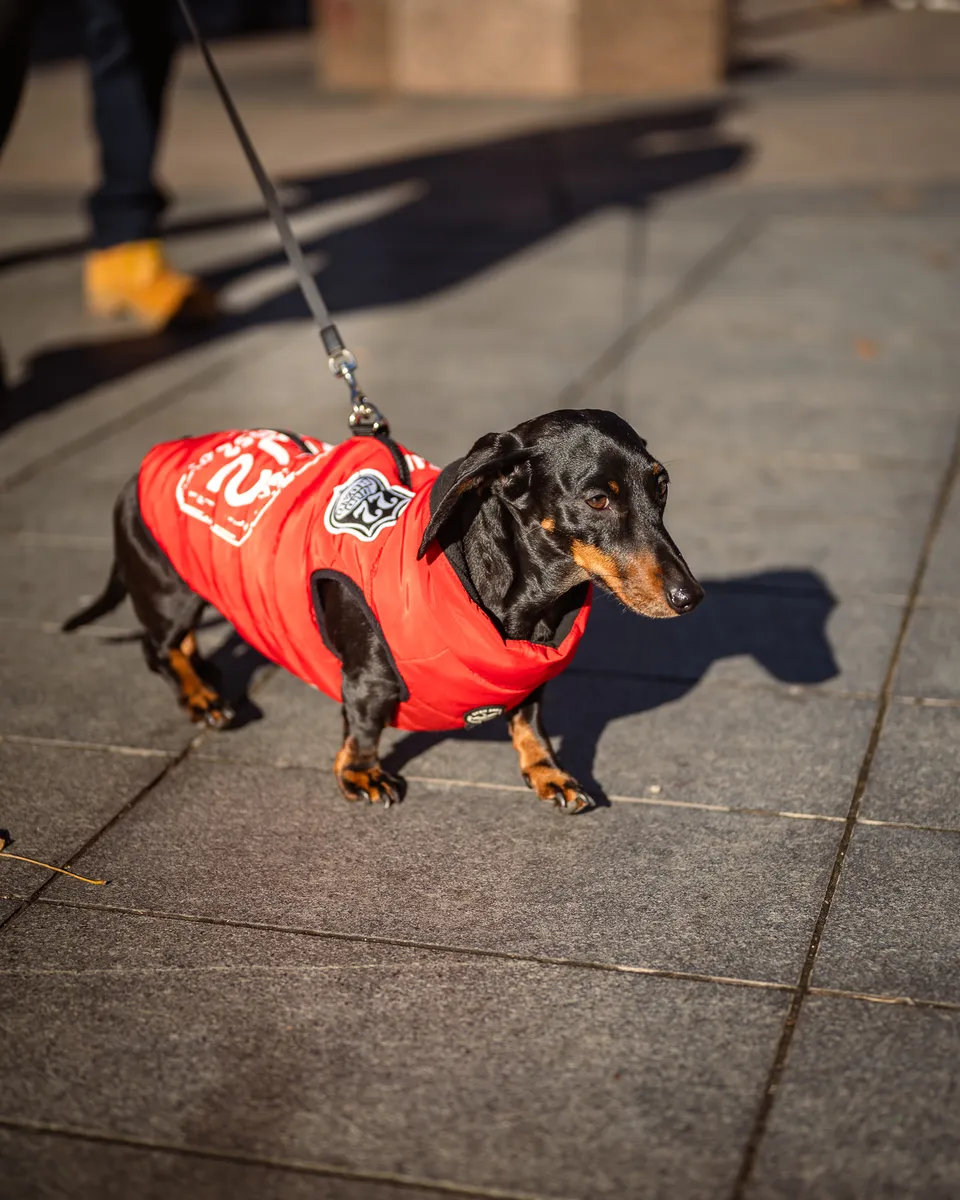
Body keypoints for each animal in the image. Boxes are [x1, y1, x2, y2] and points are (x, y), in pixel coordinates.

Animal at [63, 412, 700, 816]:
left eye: (662, 486)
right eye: (597, 499)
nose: (690, 598)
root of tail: (144, 465)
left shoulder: (527, 682)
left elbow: (529, 725)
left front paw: (549, 774)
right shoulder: (368, 676)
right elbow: (364, 726)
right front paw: (360, 773)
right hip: (168, 589)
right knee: (161, 647)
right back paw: (200, 696)